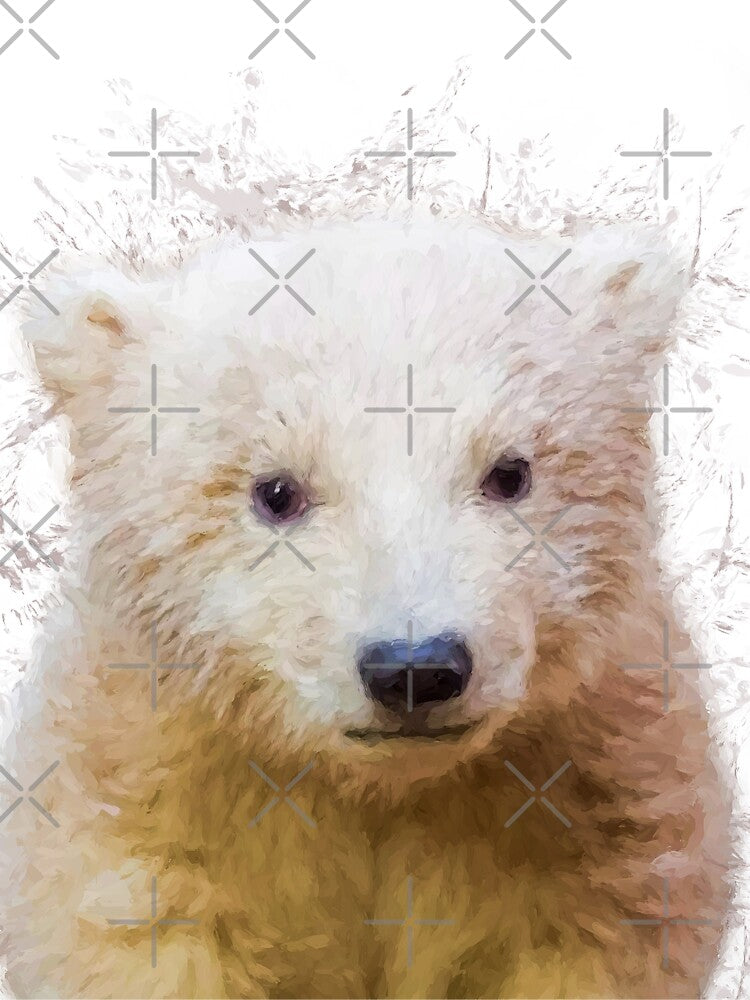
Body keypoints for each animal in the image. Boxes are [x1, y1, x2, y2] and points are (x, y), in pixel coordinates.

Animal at [0, 217, 731, 998]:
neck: (381, 792)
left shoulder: (596, 792)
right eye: (276, 491)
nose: (415, 668)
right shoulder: (141, 790)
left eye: (510, 472)